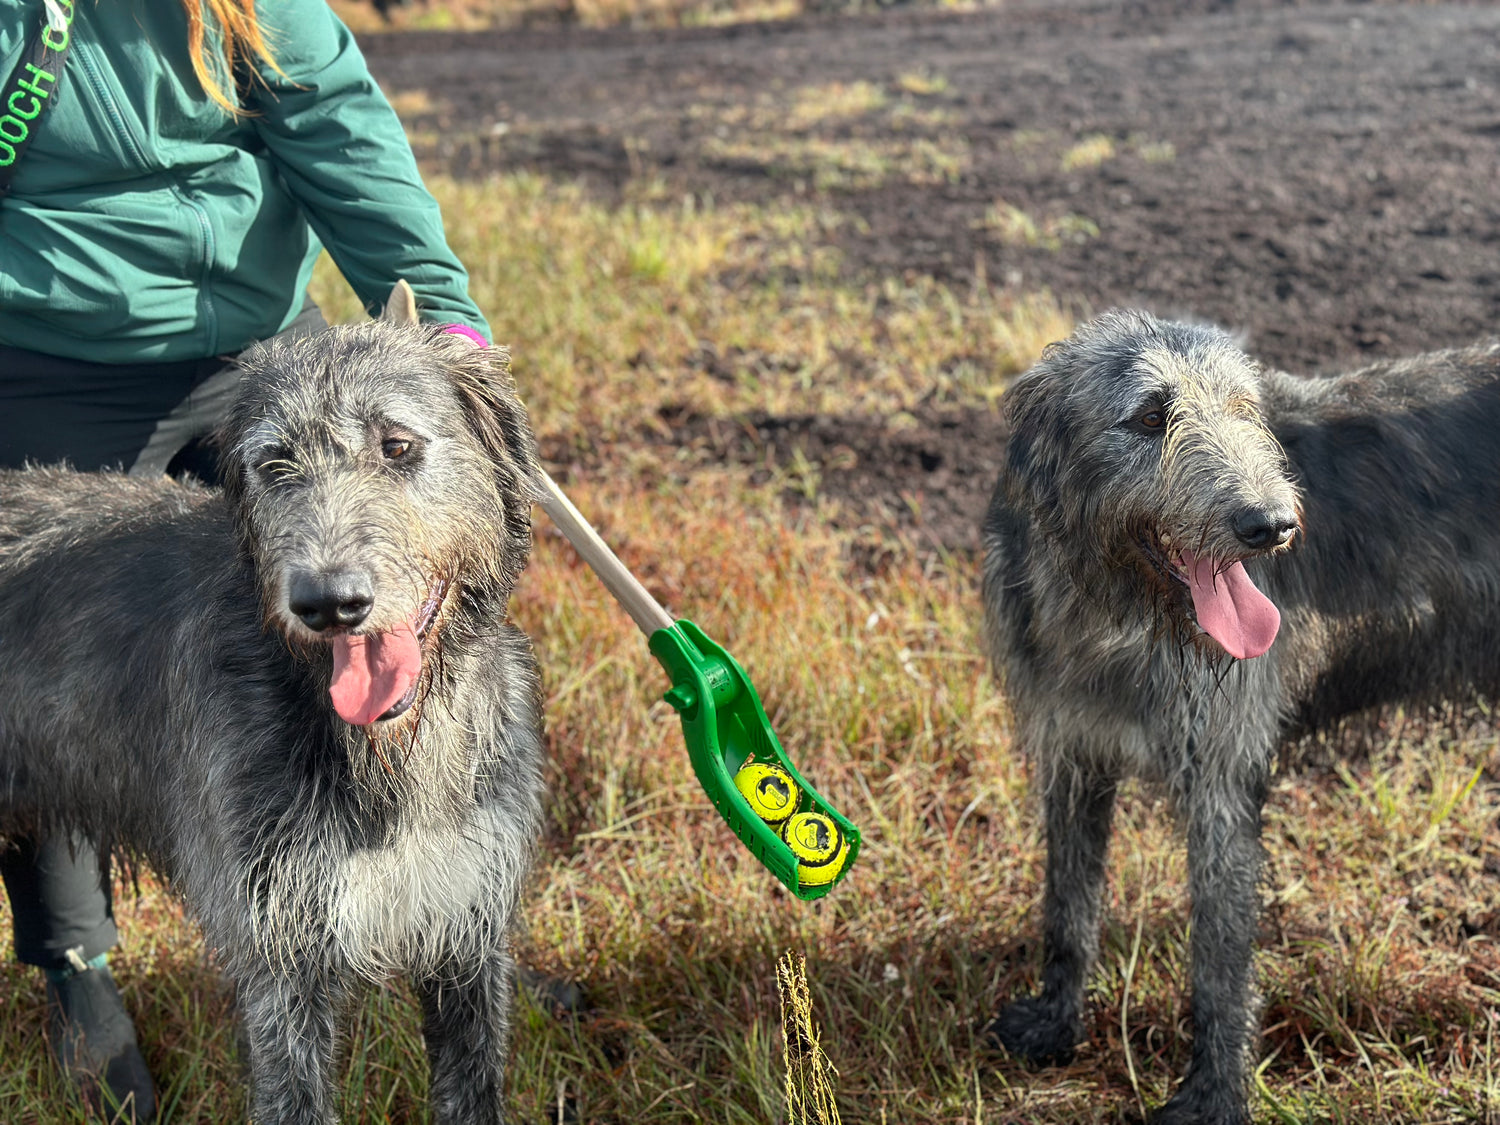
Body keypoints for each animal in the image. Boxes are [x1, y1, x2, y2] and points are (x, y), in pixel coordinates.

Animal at [0, 304, 549, 1122]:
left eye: (397, 445)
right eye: (274, 463)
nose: (329, 603)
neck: (385, 755)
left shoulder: (466, 932)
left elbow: (472, 1084)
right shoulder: (281, 962)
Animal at [978, 309, 1500, 1125]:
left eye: (1244, 409)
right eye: (1149, 415)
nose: (1273, 525)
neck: (1118, 610)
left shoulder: (1221, 779)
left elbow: (1219, 959)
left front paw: (1216, 1093)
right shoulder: (1073, 749)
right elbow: (1068, 903)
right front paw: (1057, 1021)